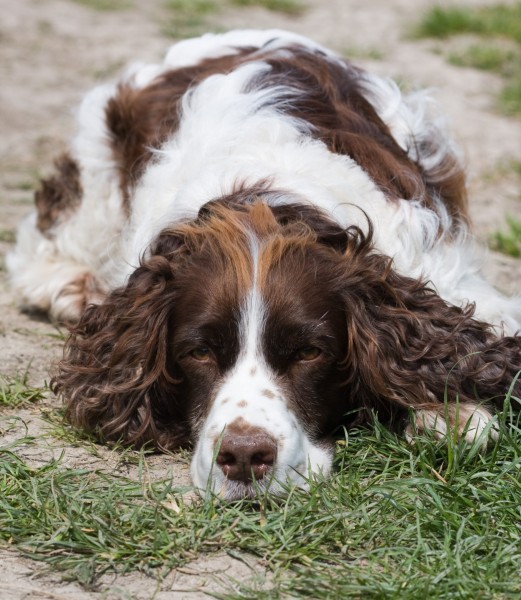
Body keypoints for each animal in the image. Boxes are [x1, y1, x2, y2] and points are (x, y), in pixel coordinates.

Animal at [8, 30, 520, 500]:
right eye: (198, 352)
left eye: (309, 352)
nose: (243, 456)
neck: (260, 198)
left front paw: (453, 411)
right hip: (97, 165)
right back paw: (69, 283)